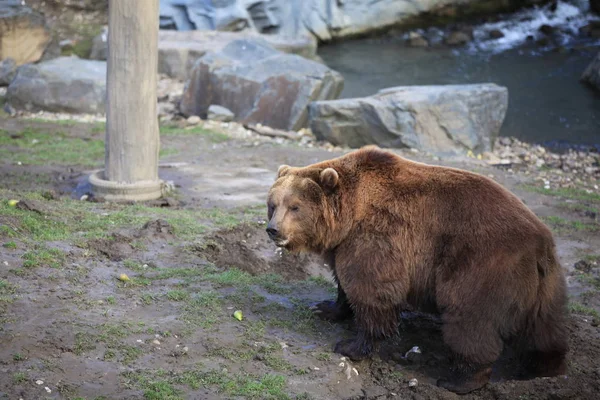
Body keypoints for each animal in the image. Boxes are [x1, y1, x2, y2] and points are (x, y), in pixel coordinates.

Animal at [266, 145, 568, 394]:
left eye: (295, 206)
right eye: (273, 204)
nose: (273, 230)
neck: (350, 213)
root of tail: (540, 241)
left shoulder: (378, 236)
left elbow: (371, 289)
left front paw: (352, 346)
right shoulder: (345, 243)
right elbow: (344, 281)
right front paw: (325, 308)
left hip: (483, 266)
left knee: (470, 320)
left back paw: (459, 380)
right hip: (545, 286)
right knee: (544, 329)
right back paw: (543, 367)